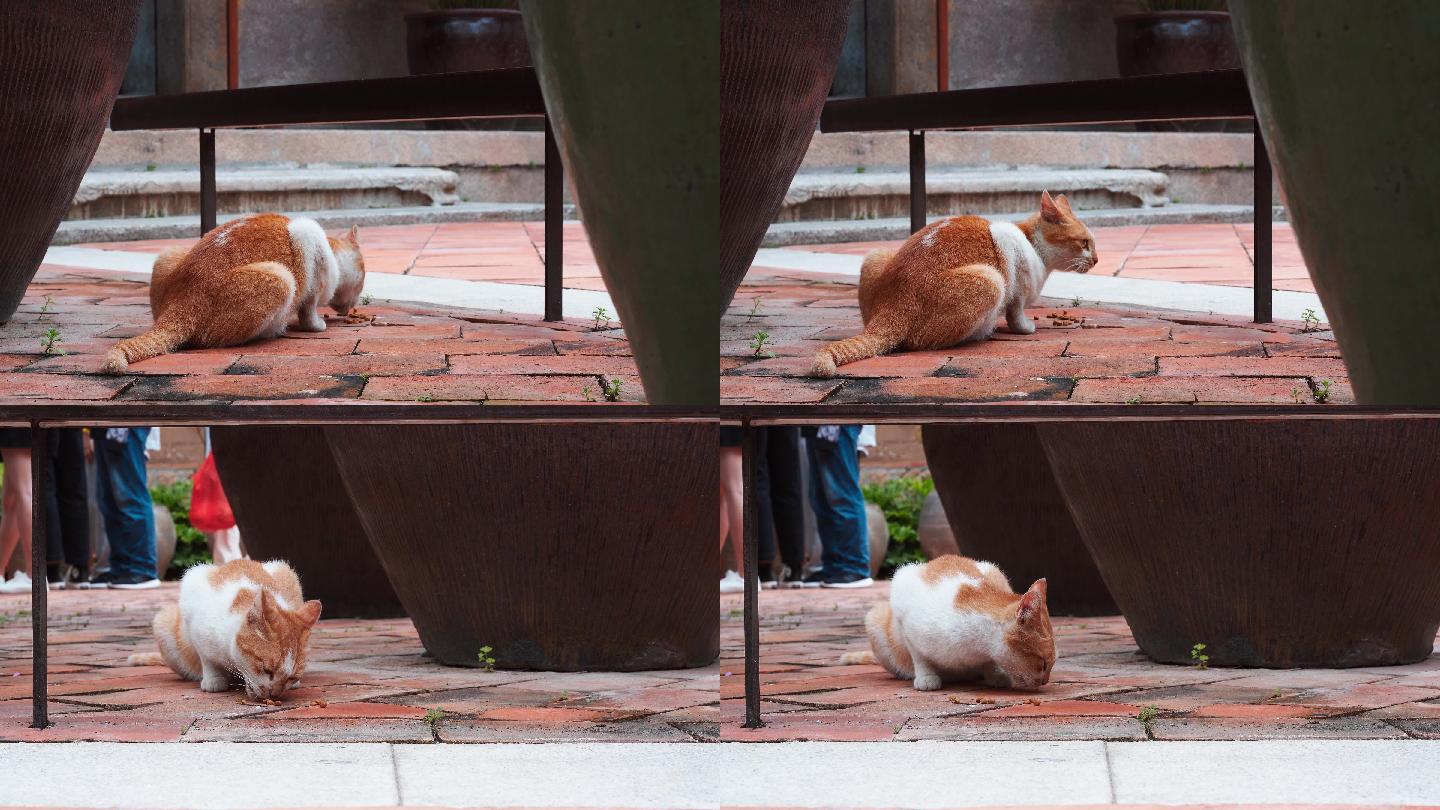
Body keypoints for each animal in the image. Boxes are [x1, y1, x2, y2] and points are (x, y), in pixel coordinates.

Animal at [100, 208, 365, 371]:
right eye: (363, 279)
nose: (352, 306)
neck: (332, 248)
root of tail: (180, 305)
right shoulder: (310, 244)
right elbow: (309, 309)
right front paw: (317, 325)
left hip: (168, 253)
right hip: (281, 278)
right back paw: (273, 330)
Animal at [128, 559, 322, 697]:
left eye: (291, 677)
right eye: (267, 670)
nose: (274, 694)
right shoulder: (193, 601)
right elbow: (206, 657)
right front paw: (213, 679)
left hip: (284, 571)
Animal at [806, 190, 1094, 377]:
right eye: (1084, 243)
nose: (1097, 259)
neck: (1032, 244)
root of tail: (890, 312)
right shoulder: (1014, 270)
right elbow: (1017, 314)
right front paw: (1025, 328)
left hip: (875, 255)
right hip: (991, 279)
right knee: (922, 342)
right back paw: (981, 333)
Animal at [840, 553, 1059, 686]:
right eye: (1043, 664)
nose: (1045, 681)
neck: (974, 649)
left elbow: (989, 662)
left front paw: (995, 674)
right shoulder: (903, 601)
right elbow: (918, 655)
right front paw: (926, 677)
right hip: (875, 619)